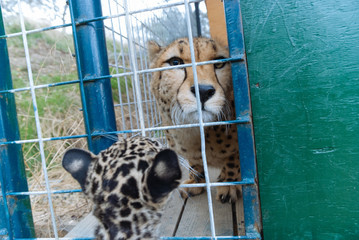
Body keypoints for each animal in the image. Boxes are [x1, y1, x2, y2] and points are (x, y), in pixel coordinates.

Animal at [149, 37, 242, 202]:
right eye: (175, 62)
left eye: (219, 63)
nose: (203, 91)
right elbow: (195, 163)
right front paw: (196, 182)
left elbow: (234, 159)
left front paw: (229, 183)